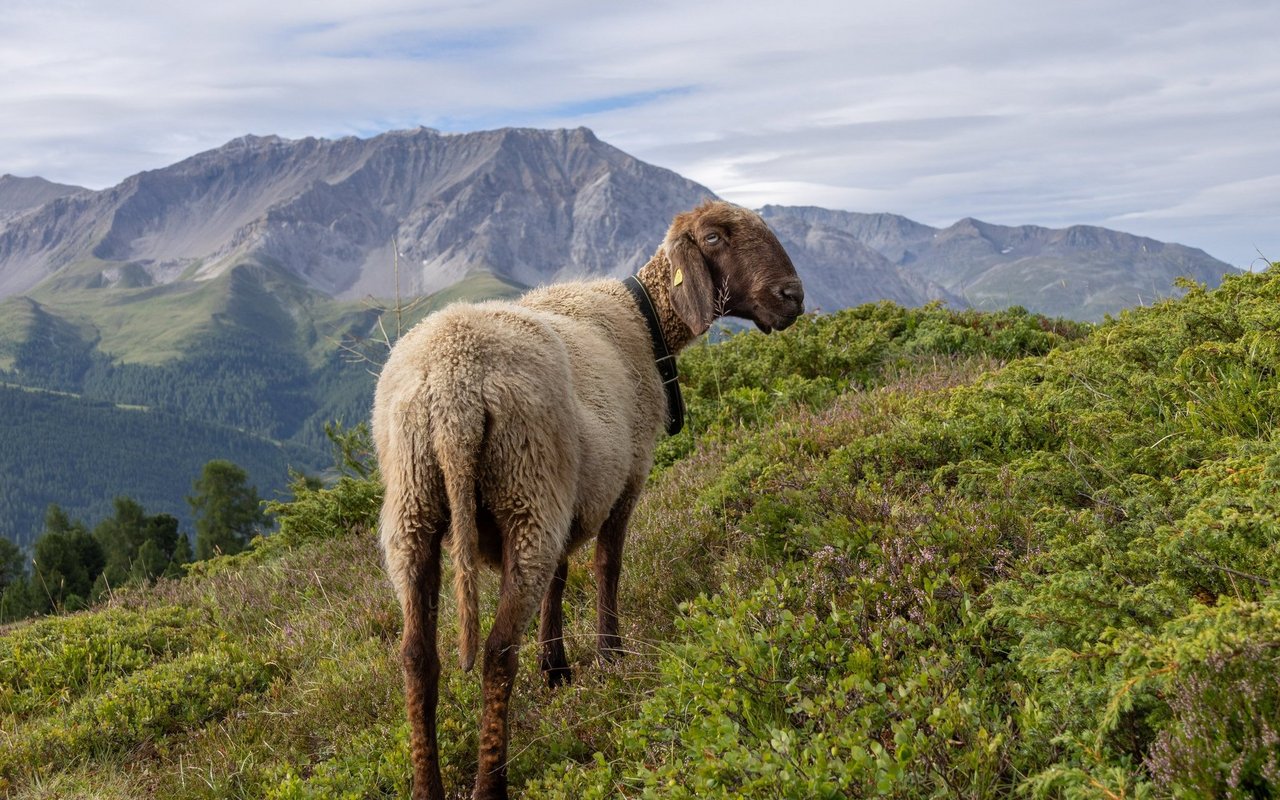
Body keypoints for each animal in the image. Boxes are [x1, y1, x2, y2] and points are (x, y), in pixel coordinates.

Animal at [373, 199, 803, 798]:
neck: (644, 319)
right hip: (526, 494)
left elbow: (559, 580)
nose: (794, 296)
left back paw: (427, 785)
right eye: (715, 238)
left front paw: (556, 667)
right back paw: (491, 781)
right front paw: (610, 654)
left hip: (416, 510)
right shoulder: (626, 477)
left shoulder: (572, 497)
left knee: (417, 656)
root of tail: (453, 395)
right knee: (497, 650)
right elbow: (606, 564)